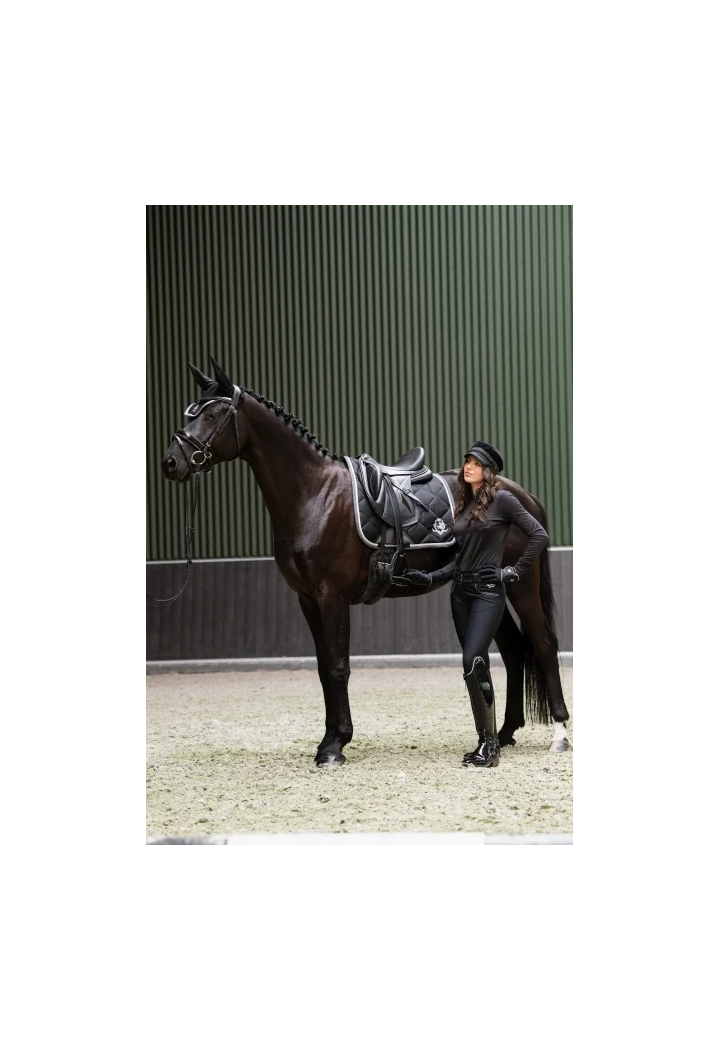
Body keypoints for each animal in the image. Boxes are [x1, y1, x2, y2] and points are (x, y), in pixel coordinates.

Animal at [160, 357, 571, 766]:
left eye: (213, 414)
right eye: (191, 411)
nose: (170, 462)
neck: (315, 495)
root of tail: (521, 493)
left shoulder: (333, 597)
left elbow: (338, 668)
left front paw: (334, 746)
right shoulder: (307, 600)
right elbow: (324, 669)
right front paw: (328, 740)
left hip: (521, 586)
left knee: (543, 643)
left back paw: (559, 734)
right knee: (514, 650)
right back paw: (502, 733)